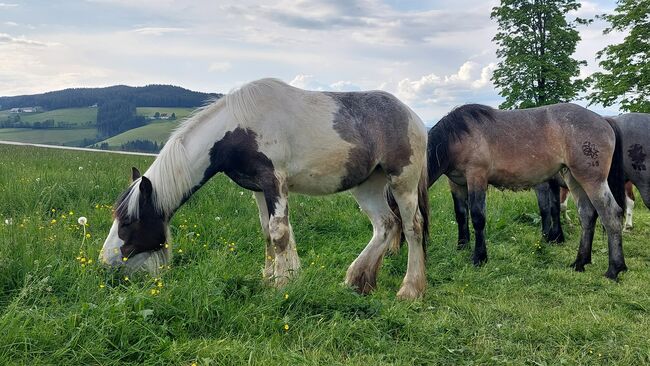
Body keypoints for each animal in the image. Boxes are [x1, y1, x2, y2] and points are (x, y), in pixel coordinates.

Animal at [98, 78, 428, 298]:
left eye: (127, 222)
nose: (105, 263)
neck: (237, 128)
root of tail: (413, 116)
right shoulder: (257, 188)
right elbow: (266, 232)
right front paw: (270, 279)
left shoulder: (274, 182)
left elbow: (279, 233)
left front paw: (282, 285)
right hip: (367, 186)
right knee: (385, 225)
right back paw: (357, 281)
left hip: (402, 183)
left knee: (412, 228)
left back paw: (409, 291)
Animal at [428, 103, 624, 280]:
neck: (456, 137)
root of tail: (604, 120)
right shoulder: (457, 183)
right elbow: (461, 215)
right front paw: (462, 246)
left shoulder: (477, 177)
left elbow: (477, 218)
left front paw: (479, 257)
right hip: (574, 180)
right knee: (587, 215)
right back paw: (580, 262)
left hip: (592, 181)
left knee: (611, 215)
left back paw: (614, 269)